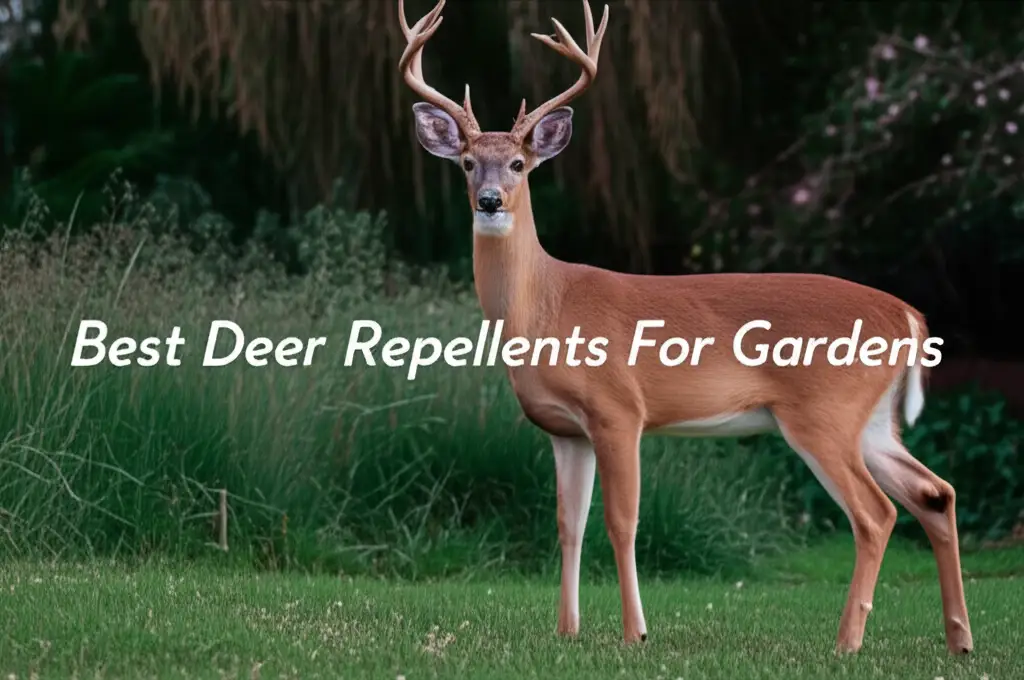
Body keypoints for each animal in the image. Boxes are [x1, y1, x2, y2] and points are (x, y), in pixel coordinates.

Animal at [397, 0, 973, 656]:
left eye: (519, 163)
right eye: (468, 163)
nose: (490, 200)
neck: (547, 306)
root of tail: (909, 315)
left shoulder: (618, 409)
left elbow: (622, 522)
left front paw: (635, 632)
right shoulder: (564, 430)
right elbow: (569, 524)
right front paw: (567, 631)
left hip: (824, 412)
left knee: (876, 514)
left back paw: (847, 642)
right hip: (872, 421)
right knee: (935, 494)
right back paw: (958, 640)